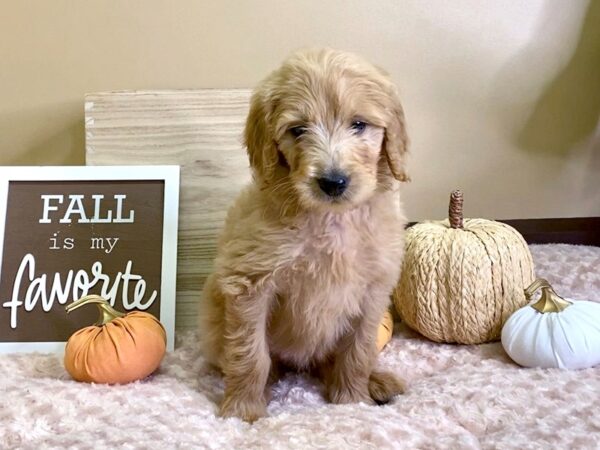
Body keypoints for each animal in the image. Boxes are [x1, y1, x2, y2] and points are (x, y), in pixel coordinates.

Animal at [199, 49, 410, 422]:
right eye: (298, 130)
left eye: (359, 124)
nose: (333, 181)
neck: (331, 219)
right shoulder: (249, 283)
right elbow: (250, 353)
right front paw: (241, 410)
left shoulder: (374, 288)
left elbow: (358, 351)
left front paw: (352, 400)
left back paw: (377, 381)